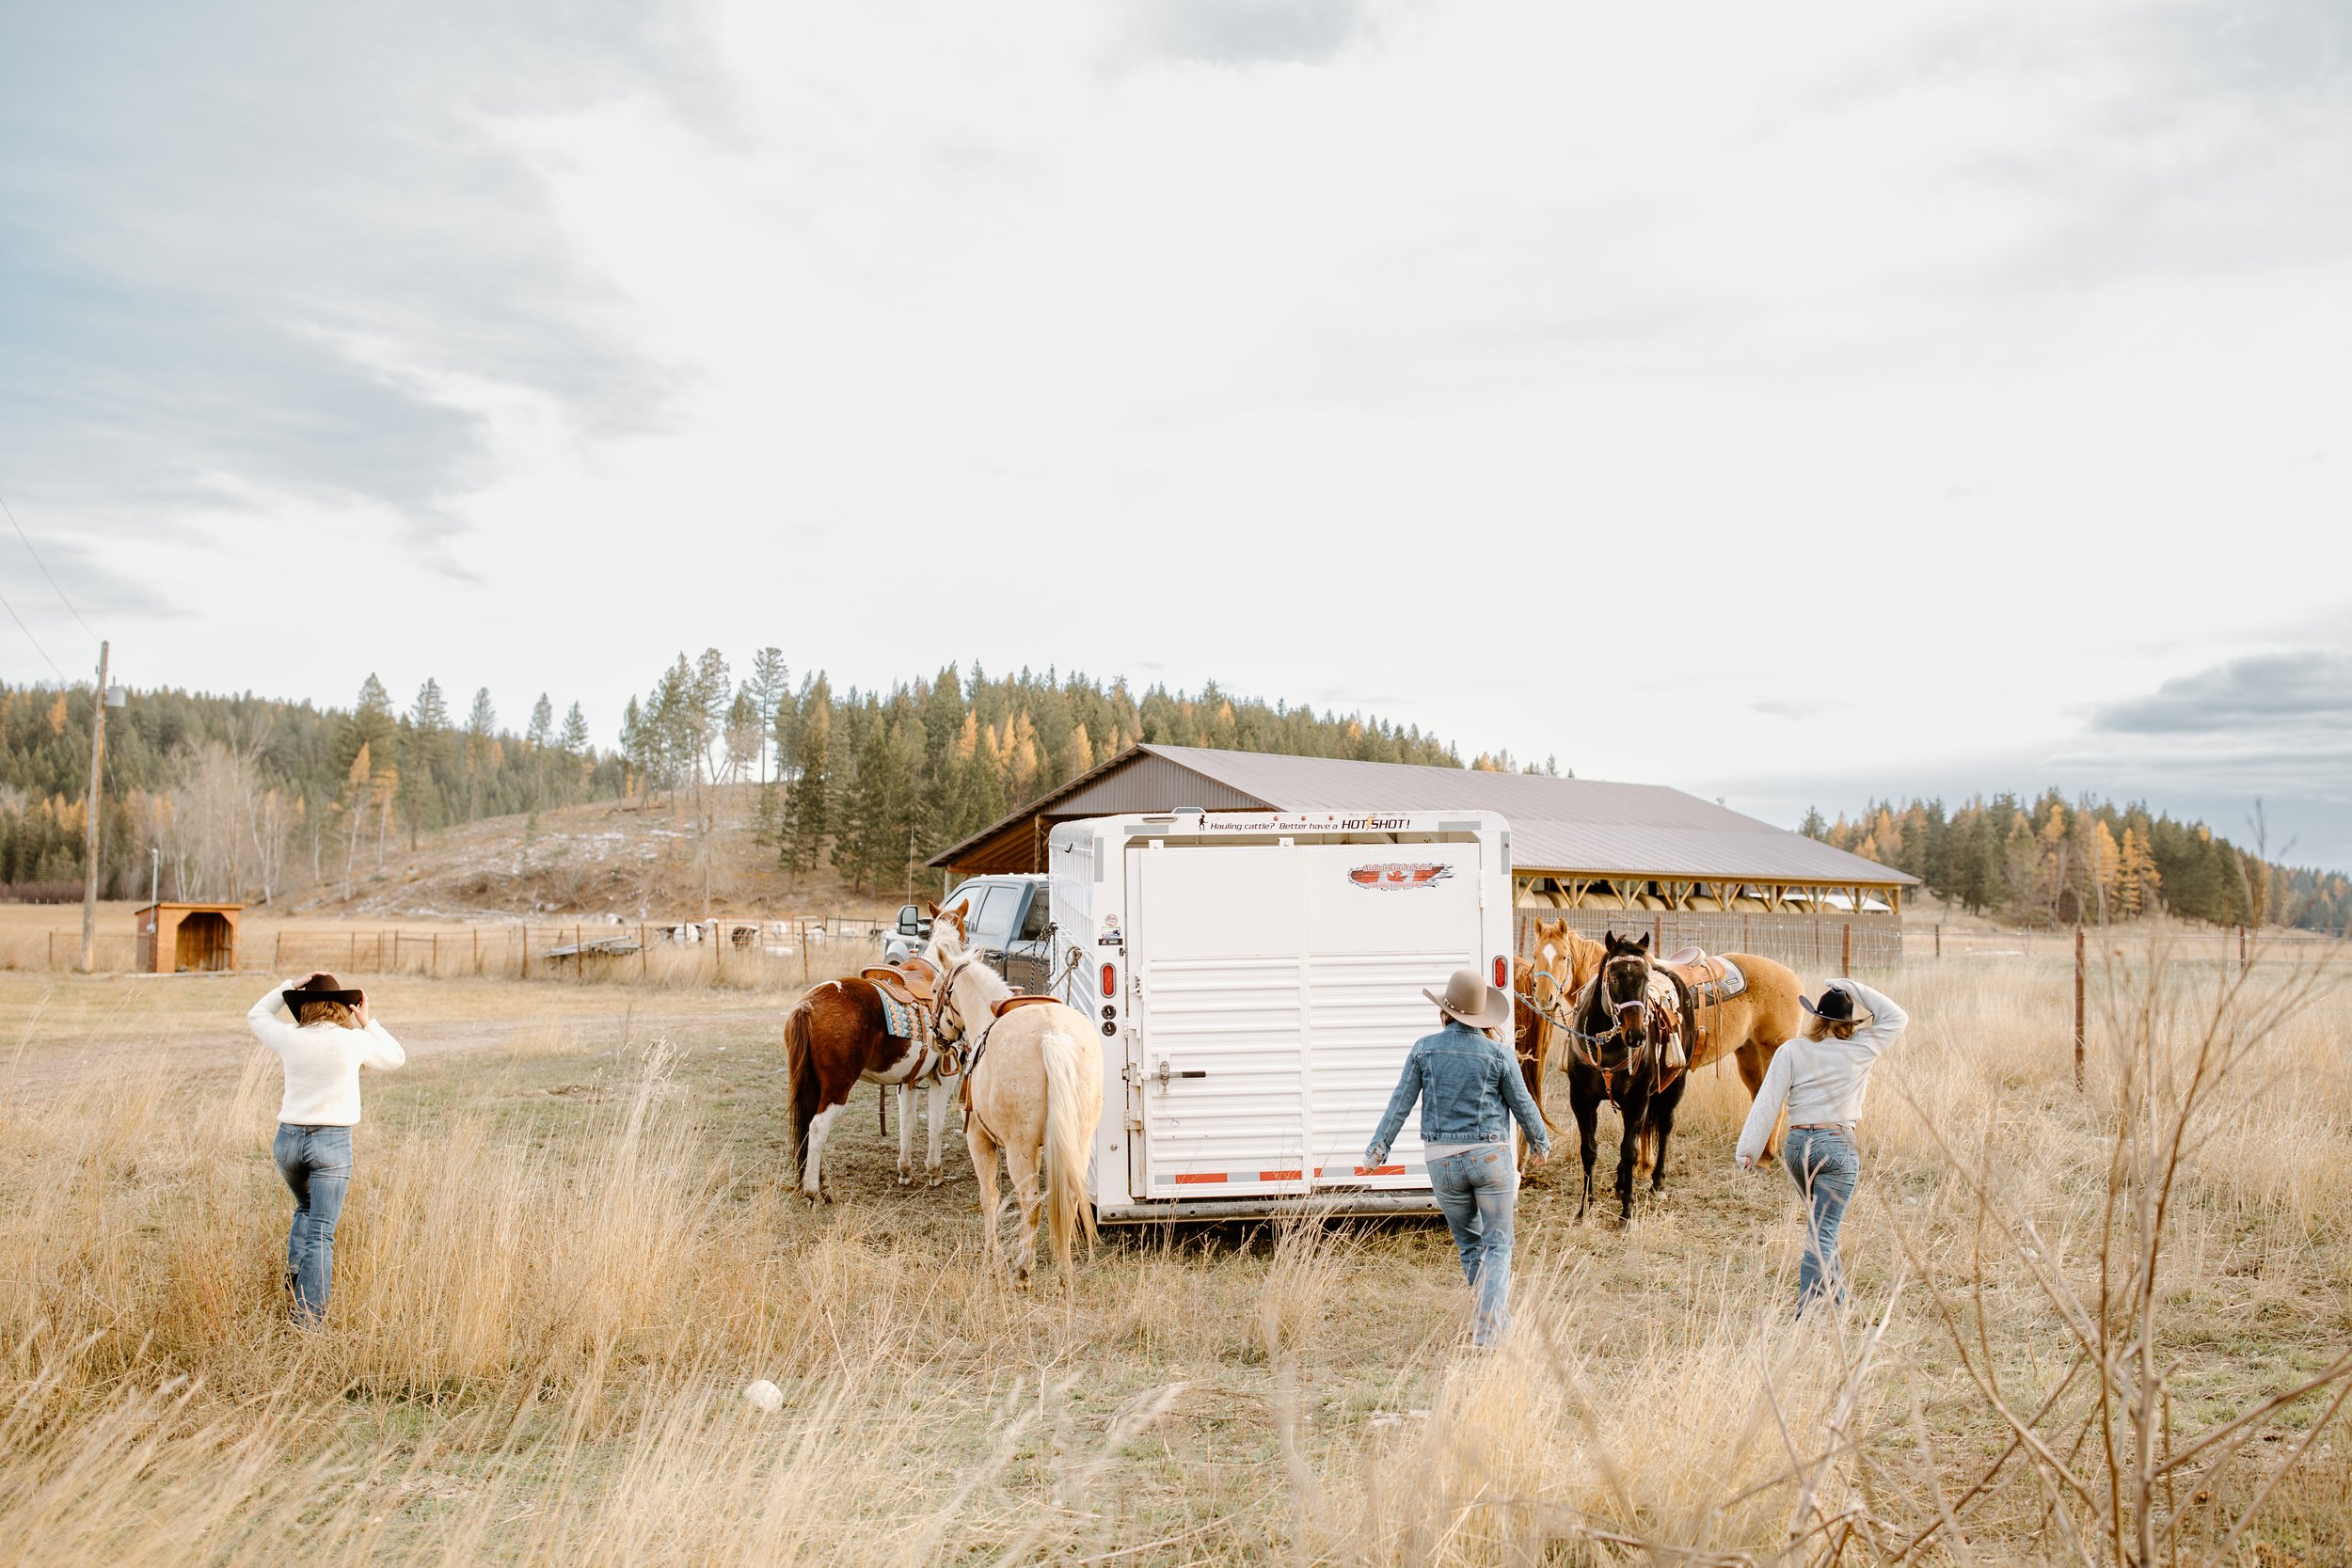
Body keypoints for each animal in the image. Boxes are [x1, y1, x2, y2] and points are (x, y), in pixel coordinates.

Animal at [927, 930, 1101, 1288]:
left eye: (936, 990)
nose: (935, 1036)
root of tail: (1052, 1035)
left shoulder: (979, 1140)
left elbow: (989, 1197)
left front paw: (991, 1262)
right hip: (1078, 1141)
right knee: (1069, 1197)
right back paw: (1064, 1273)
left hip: (1018, 1149)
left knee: (1030, 1202)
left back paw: (1023, 1270)